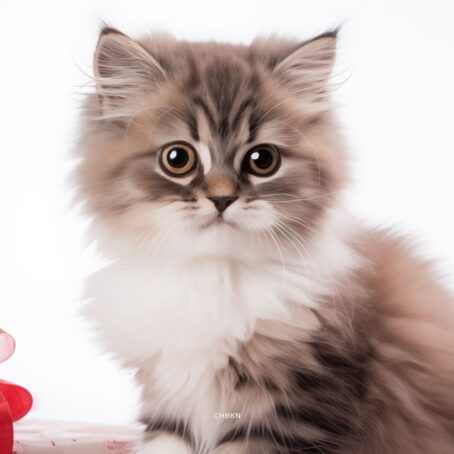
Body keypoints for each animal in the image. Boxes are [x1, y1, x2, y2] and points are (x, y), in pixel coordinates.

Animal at [76, 26, 454, 452]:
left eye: (262, 160)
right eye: (178, 159)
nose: (222, 199)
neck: (215, 276)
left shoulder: (290, 414)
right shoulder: (171, 403)